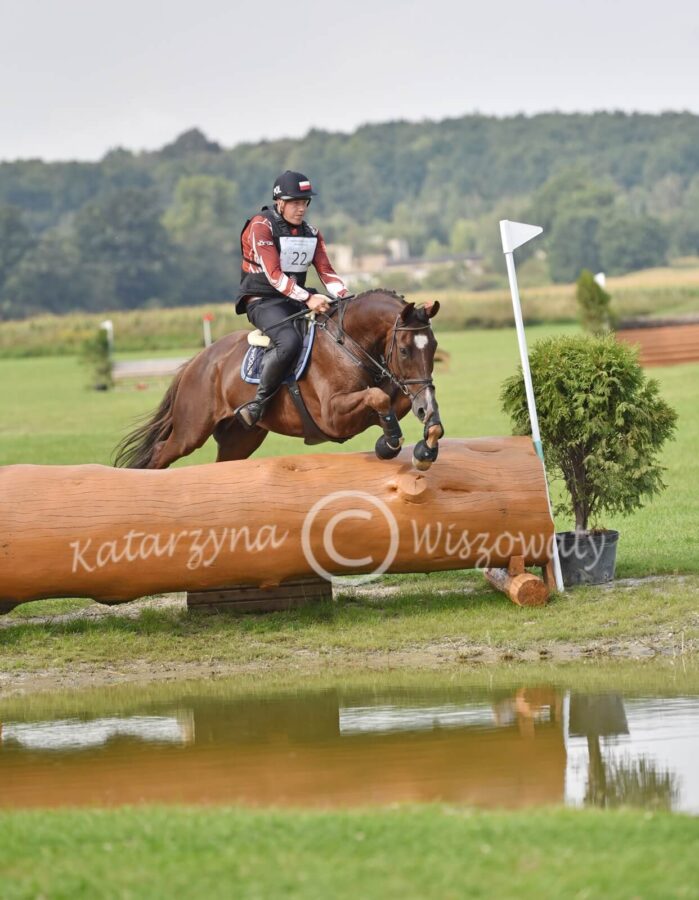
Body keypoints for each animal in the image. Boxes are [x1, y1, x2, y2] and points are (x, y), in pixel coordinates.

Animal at [113, 290, 442, 472]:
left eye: (434, 347)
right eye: (404, 350)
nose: (423, 407)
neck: (348, 344)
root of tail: (196, 362)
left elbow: (401, 405)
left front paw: (426, 445)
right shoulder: (333, 416)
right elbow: (378, 397)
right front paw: (389, 443)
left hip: (240, 438)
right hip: (191, 431)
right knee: (160, 454)